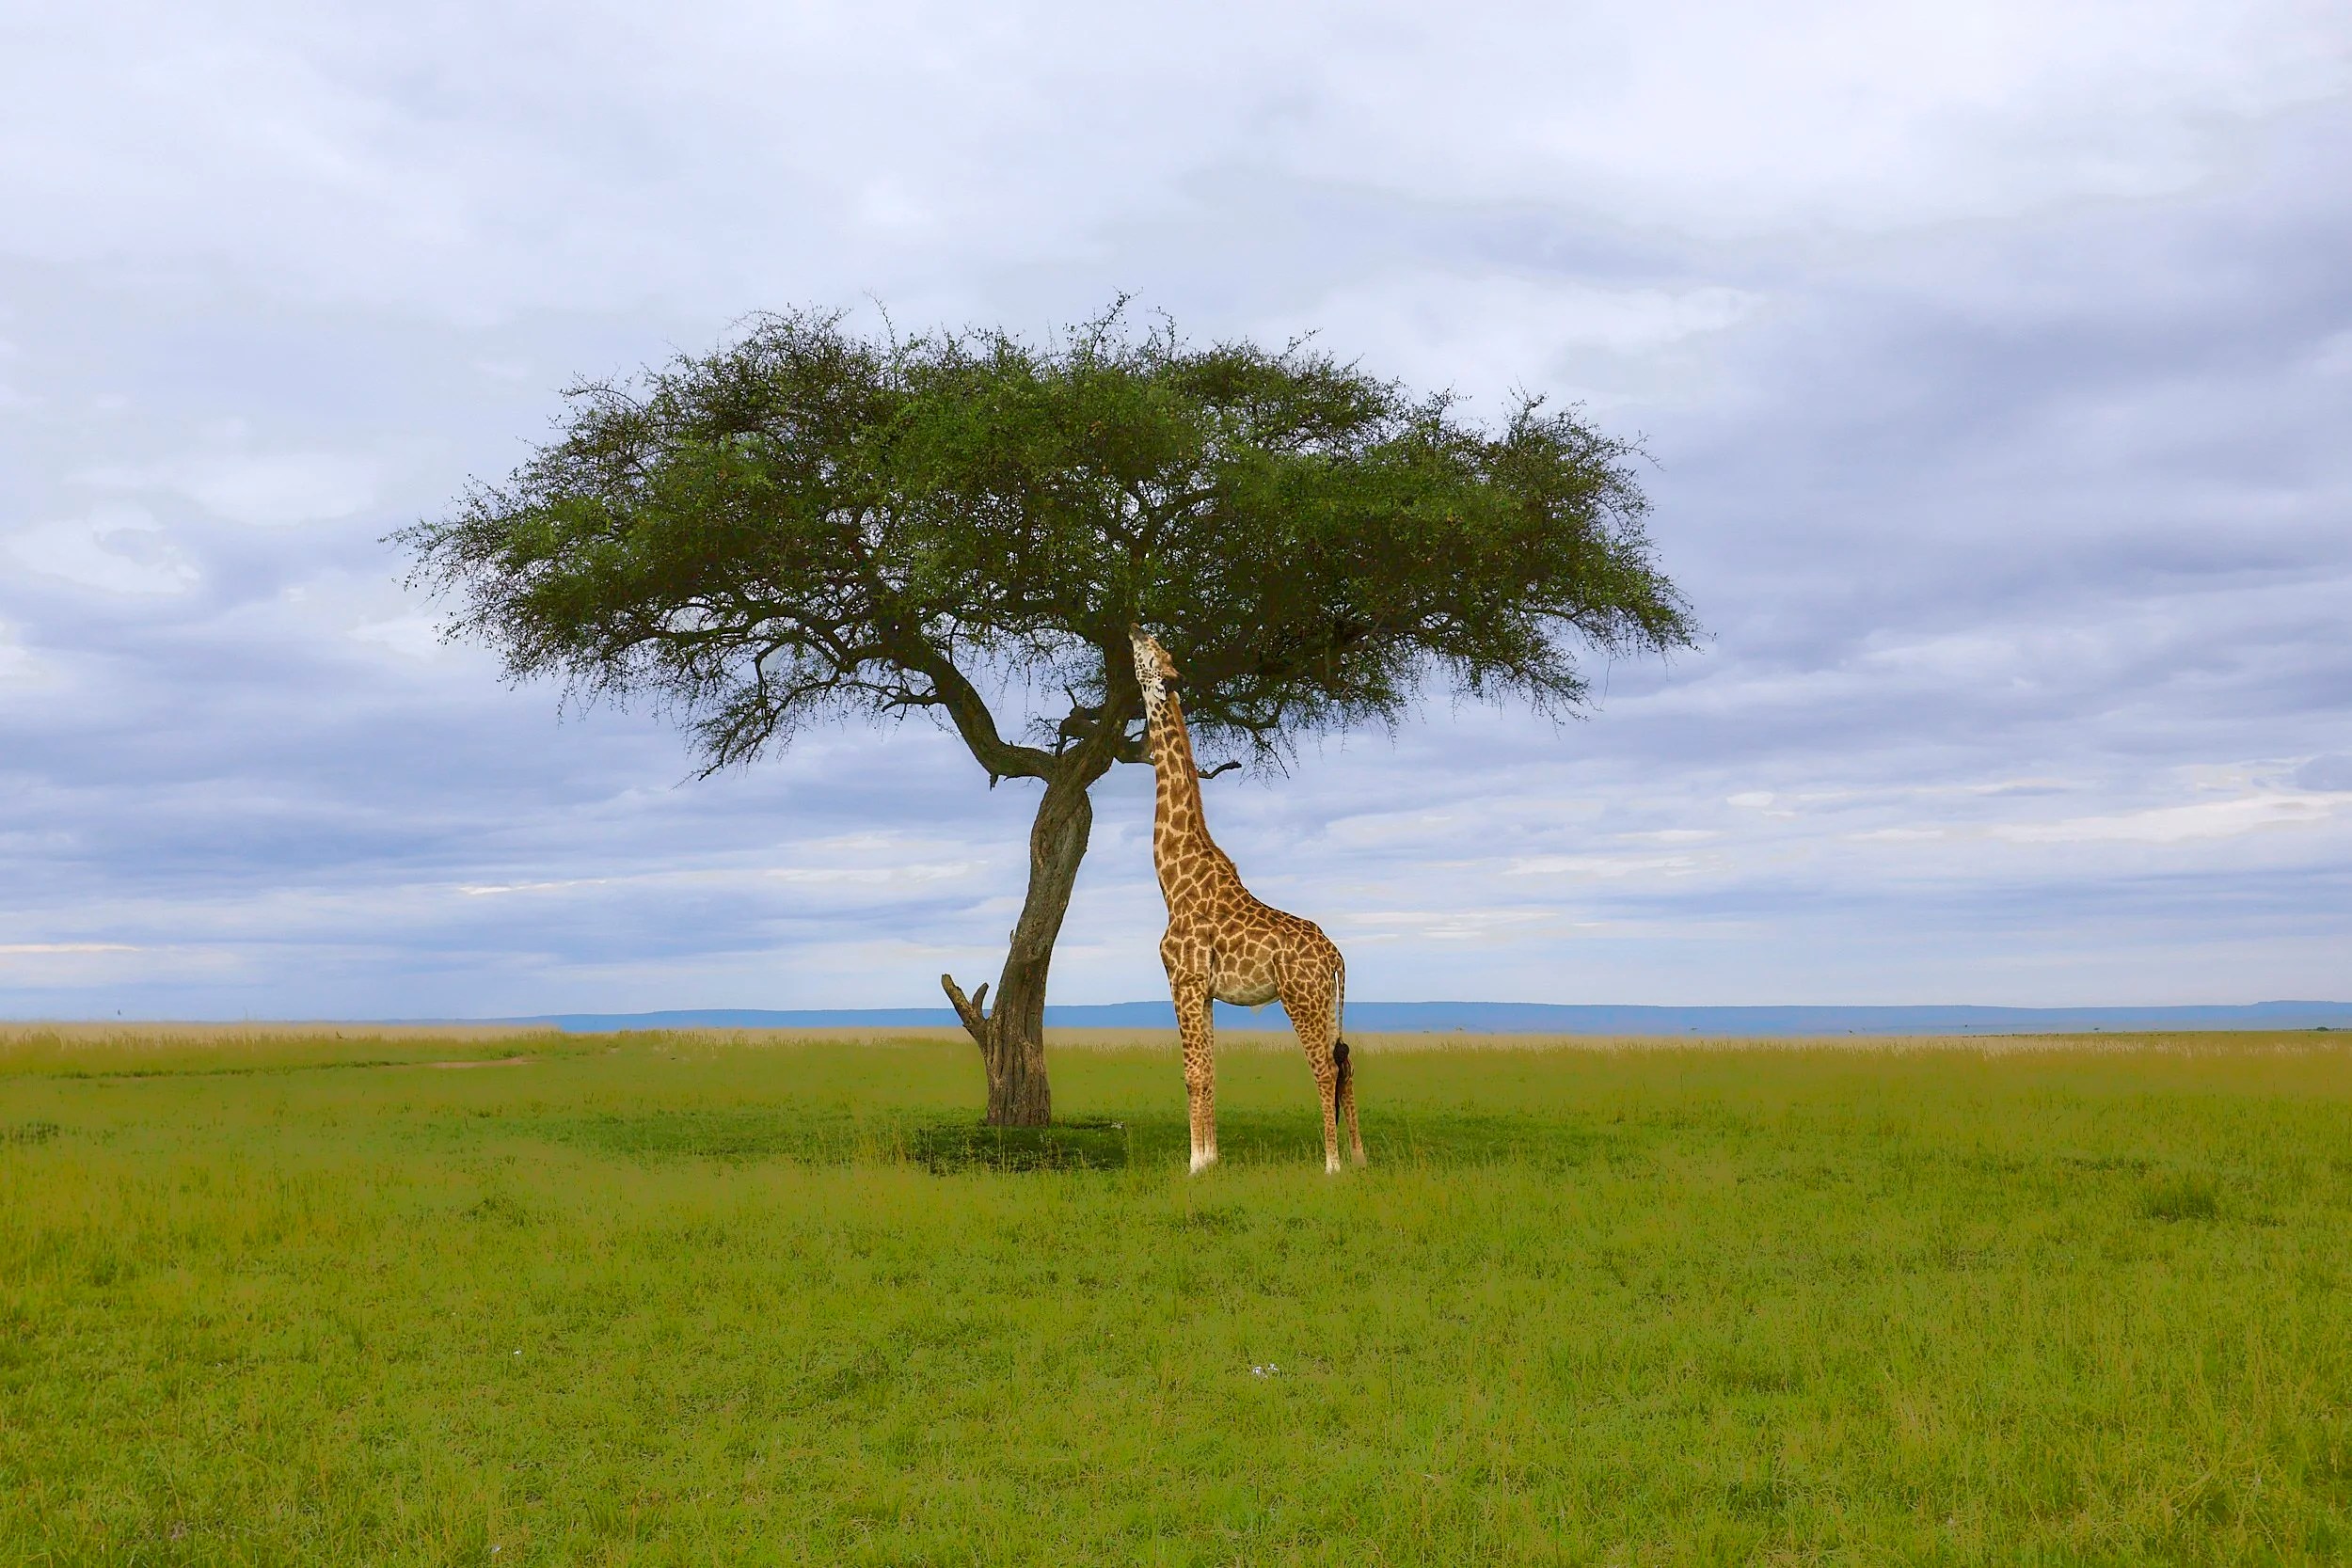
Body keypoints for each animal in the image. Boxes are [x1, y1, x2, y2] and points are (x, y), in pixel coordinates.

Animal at [1130, 628, 1365, 1175]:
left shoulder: (1184, 979)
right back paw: (1360, 1158)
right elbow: (1209, 1072)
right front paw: (1212, 1159)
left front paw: (1194, 1164)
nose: (1130, 629)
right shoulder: (1204, 990)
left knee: (1325, 1070)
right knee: (1346, 1065)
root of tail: (1336, 956)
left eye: (1153, 651)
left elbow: (1193, 1073)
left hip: (1301, 997)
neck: (1173, 880)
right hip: (1324, 1001)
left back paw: (1332, 1165)